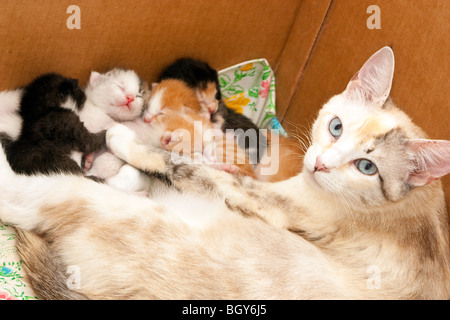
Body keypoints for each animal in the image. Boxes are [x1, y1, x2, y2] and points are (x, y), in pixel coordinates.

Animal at [0, 46, 450, 298]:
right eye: (336, 126)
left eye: (367, 167)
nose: (320, 163)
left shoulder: (274, 200)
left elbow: (188, 166)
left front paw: (125, 140)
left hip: (113, 211)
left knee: (25, 195)